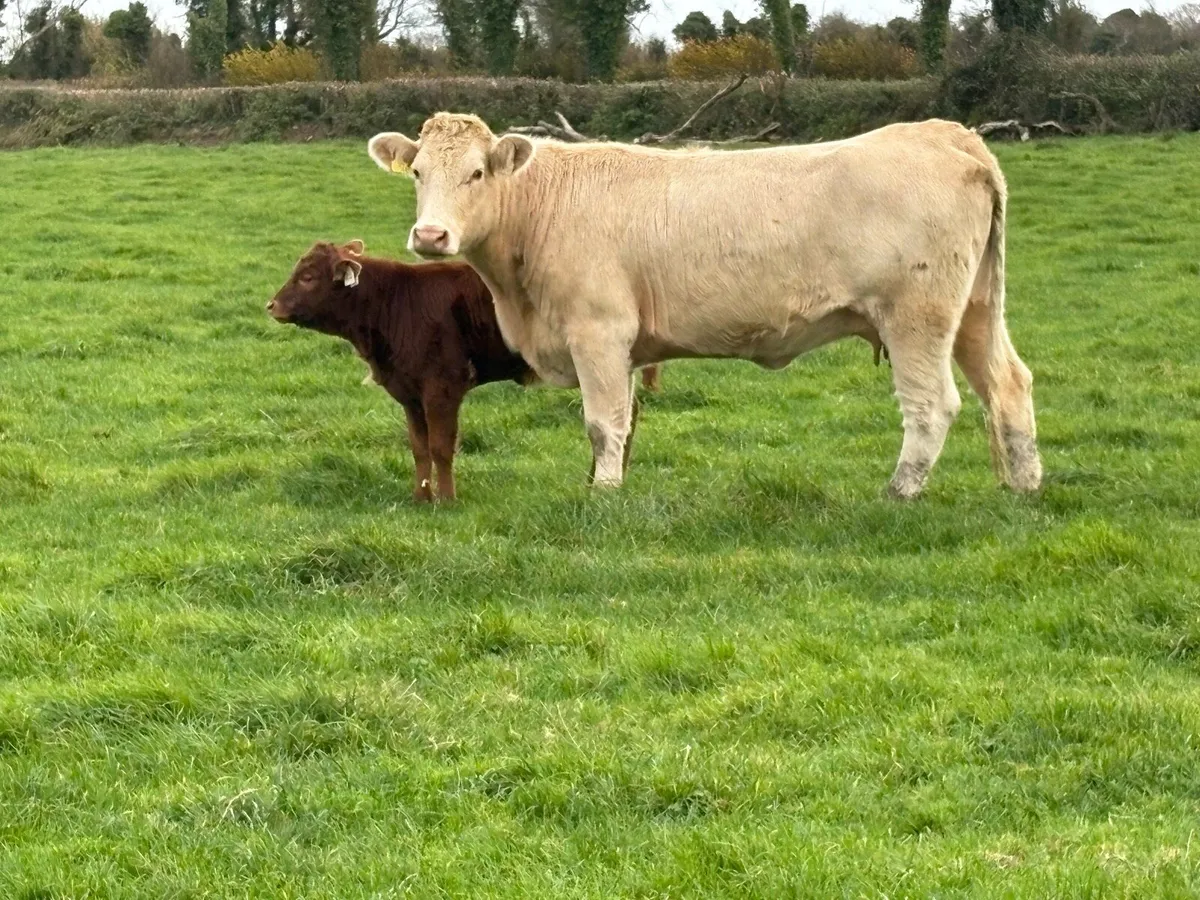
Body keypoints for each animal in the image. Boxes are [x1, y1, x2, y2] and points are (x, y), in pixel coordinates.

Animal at [267, 241, 658, 501]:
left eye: (307, 277)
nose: (272, 305)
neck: (393, 303)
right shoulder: (409, 393)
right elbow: (419, 447)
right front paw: (421, 497)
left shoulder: (443, 386)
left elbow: (441, 446)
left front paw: (447, 499)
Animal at [366, 114, 1042, 499]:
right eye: (418, 173)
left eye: (477, 174)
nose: (431, 236)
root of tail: (944, 134)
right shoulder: (622, 347)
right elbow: (625, 422)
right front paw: (608, 479)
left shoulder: (598, 332)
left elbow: (602, 422)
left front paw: (603, 495)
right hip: (975, 309)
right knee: (1007, 384)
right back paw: (1024, 485)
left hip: (917, 317)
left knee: (933, 405)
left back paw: (901, 490)